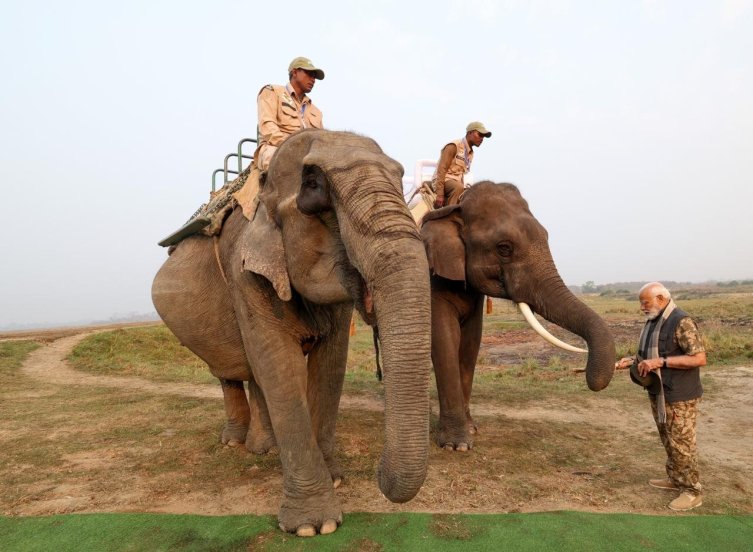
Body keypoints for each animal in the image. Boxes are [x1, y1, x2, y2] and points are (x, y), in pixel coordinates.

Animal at [151, 129, 432, 536]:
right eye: (314, 188)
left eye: (400, 178)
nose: (378, 474)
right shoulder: (243, 269)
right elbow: (279, 366)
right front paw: (314, 526)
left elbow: (331, 364)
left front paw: (334, 479)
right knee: (231, 372)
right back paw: (235, 444)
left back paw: (264, 449)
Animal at [420, 183, 612, 450]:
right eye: (504, 248)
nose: (590, 378)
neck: (455, 206)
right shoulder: (432, 278)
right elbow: (444, 339)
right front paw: (456, 445)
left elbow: (470, 343)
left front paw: (471, 430)